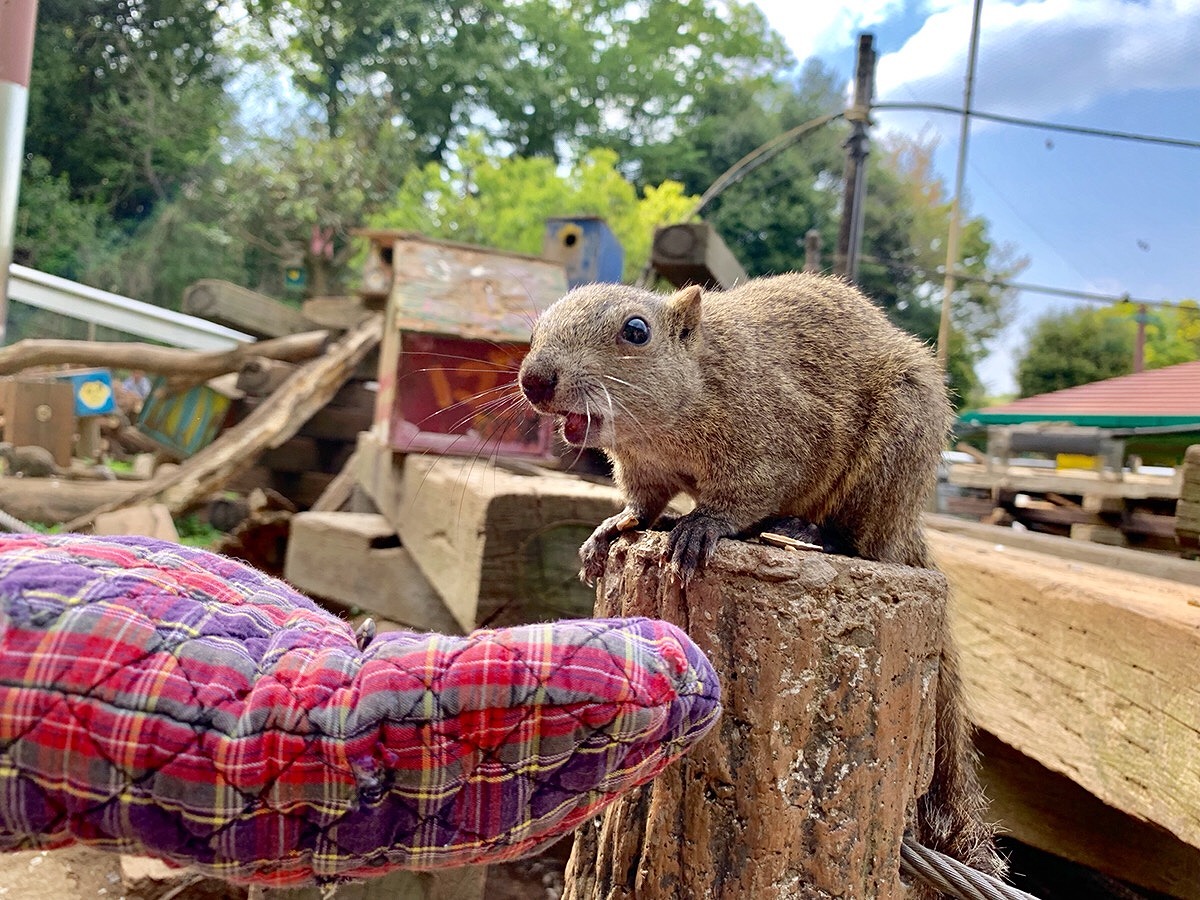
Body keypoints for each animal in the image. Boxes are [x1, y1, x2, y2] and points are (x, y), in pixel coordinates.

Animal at [516, 273, 1003, 883]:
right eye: (535, 329)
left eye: (636, 331)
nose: (535, 380)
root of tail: (909, 520)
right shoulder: (644, 467)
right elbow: (643, 504)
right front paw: (616, 526)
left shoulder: (781, 436)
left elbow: (749, 493)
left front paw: (705, 525)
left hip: (895, 451)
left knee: (865, 540)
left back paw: (804, 531)